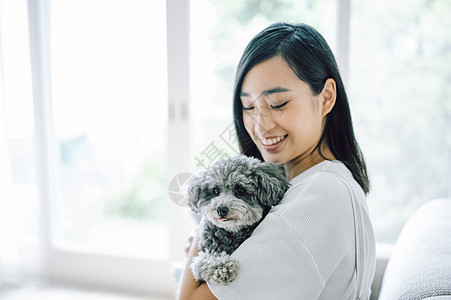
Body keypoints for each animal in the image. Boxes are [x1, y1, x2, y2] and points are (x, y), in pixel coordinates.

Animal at [188, 156, 292, 284]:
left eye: (240, 190)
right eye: (216, 191)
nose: (221, 209)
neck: (232, 232)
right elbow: (203, 261)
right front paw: (222, 268)